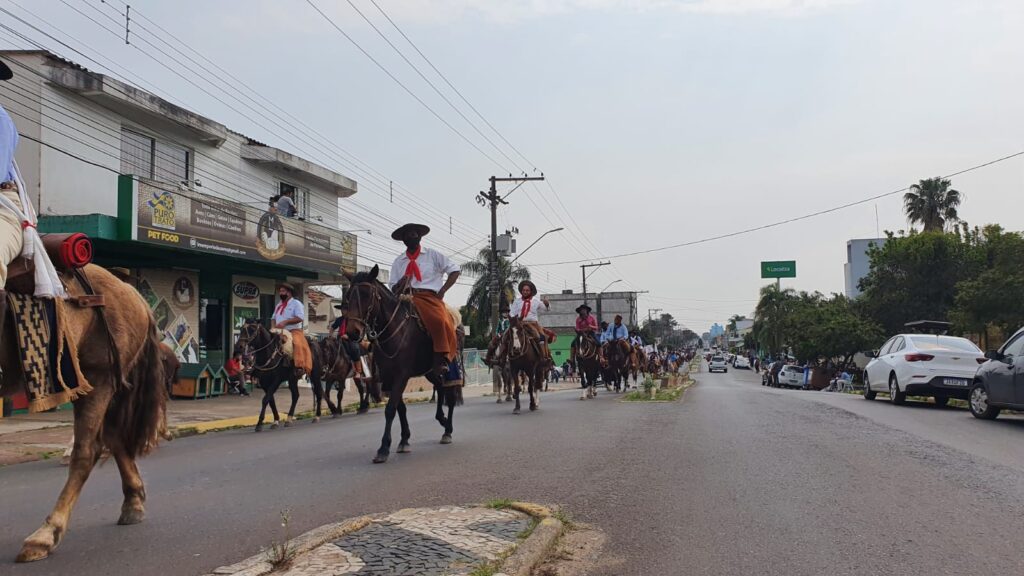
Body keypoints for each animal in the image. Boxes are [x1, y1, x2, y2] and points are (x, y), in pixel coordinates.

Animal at [1, 264, 167, 561]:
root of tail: (132, 292)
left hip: (98, 380)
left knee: (87, 451)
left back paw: (46, 534)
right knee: (112, 436)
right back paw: (133, 502)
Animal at [339, 266, 460, 461]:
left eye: (367, 295)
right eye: (348, 295)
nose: (352, 332)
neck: (393, 330)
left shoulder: (401, 376)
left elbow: (390, 409)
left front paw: (383, 448)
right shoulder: (389, 377)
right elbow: (400, 408)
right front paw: (404, 440)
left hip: (447, 368)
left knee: (450, 394)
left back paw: (447, 430)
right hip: (430, 371)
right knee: (440, 388)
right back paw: (441, 420)